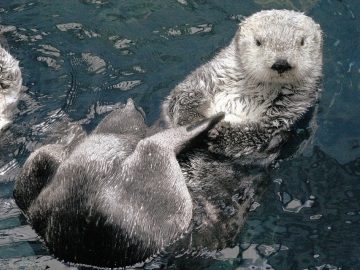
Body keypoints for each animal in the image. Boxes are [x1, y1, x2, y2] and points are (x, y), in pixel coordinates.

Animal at [162, 8, 322, 165]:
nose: (281, 63)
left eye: (302, 42)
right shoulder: (213, 75)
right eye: (258, 42)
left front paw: (220, 135)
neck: (254, 91)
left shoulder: (288, 110)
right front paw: (194, 121)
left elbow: (259, 132)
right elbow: (183, 95)